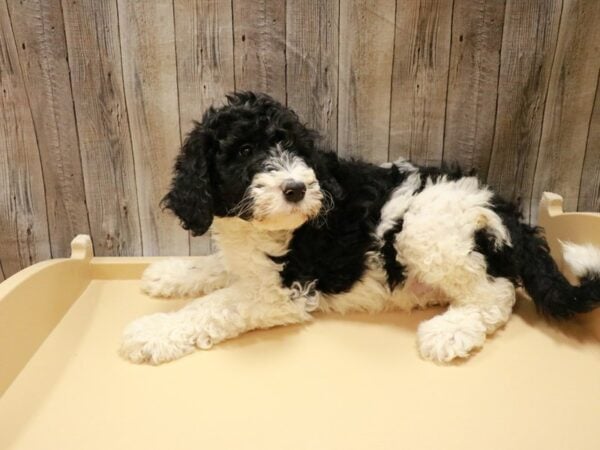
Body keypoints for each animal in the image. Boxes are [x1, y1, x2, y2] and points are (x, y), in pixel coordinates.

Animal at [118, 92, 600, 366]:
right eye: (243, 151)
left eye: (294, 148)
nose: (296, 188)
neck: (258, 227)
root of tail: (500, 203)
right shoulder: (251, 264)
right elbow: (218, 268)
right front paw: (170, 273)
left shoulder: (283, 291)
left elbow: (214, 306)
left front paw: (151, 333)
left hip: (424, 230)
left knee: (496, 294)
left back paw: (450, 332)